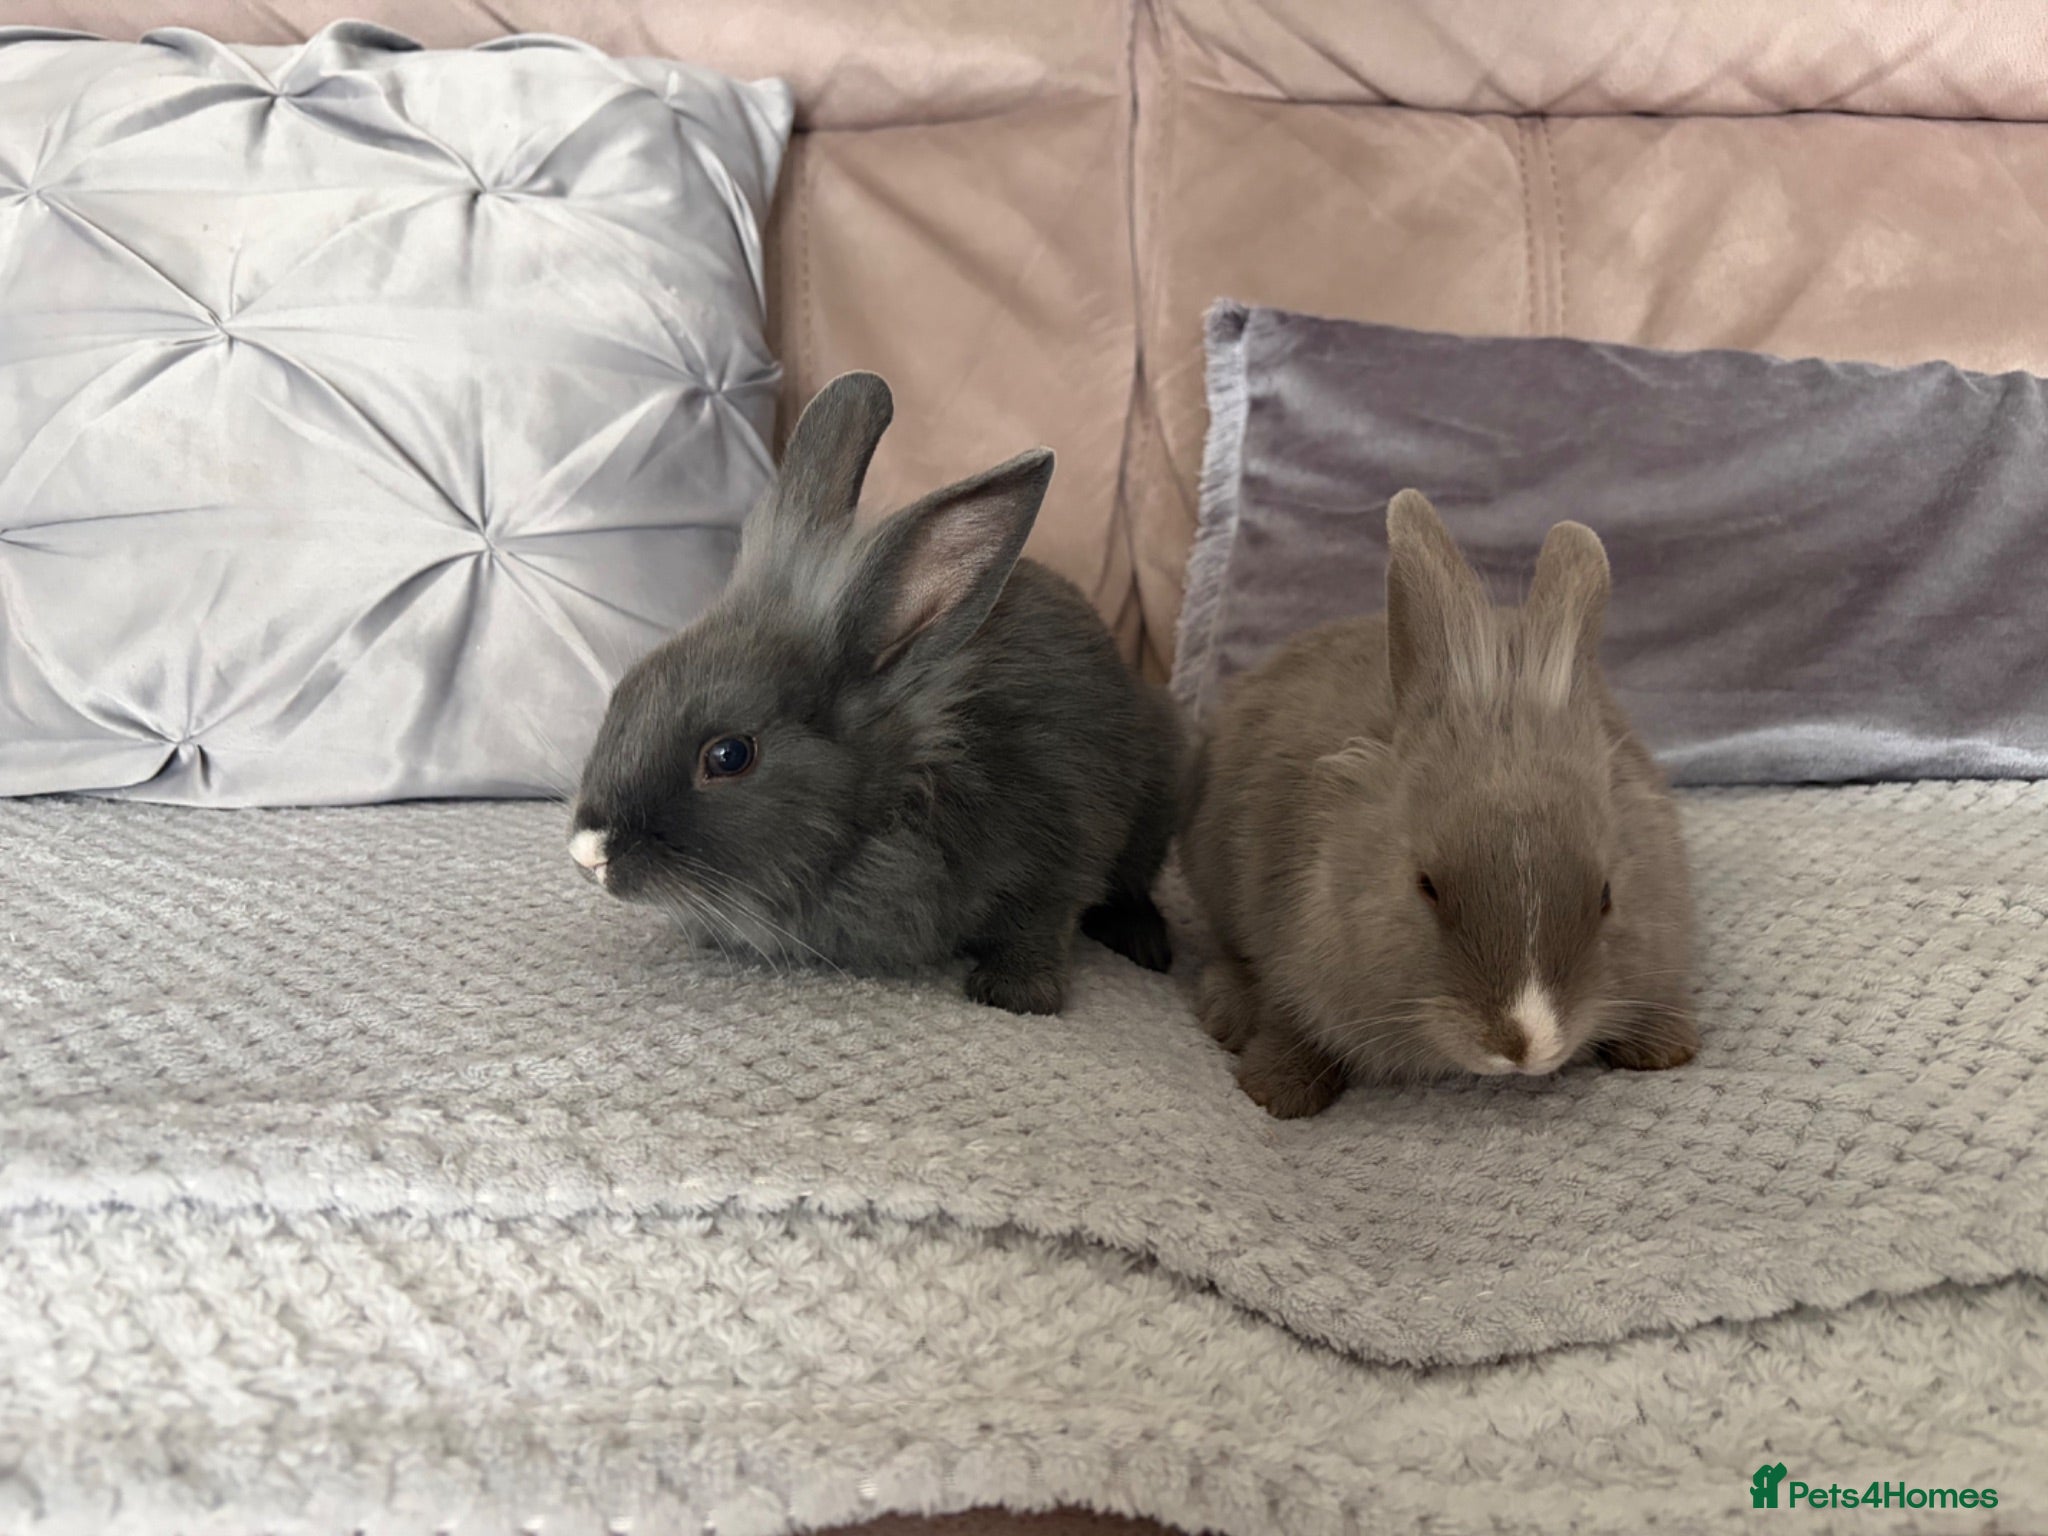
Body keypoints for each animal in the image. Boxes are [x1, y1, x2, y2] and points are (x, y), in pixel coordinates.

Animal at [568, 370, 1184, 1015]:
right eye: (624, 691)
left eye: (729, 755)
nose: (588, 851)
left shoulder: (1059, 842)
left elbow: (1041, 920)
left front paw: (1015, 995)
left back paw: (1145, 944)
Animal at [1180, 488, 1697, 1118]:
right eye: (1425, 886)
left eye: (1606, 896)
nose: (1523, 1042)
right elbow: (1290, 1021)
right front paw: (1277, 1093)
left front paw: (1667, 1048)